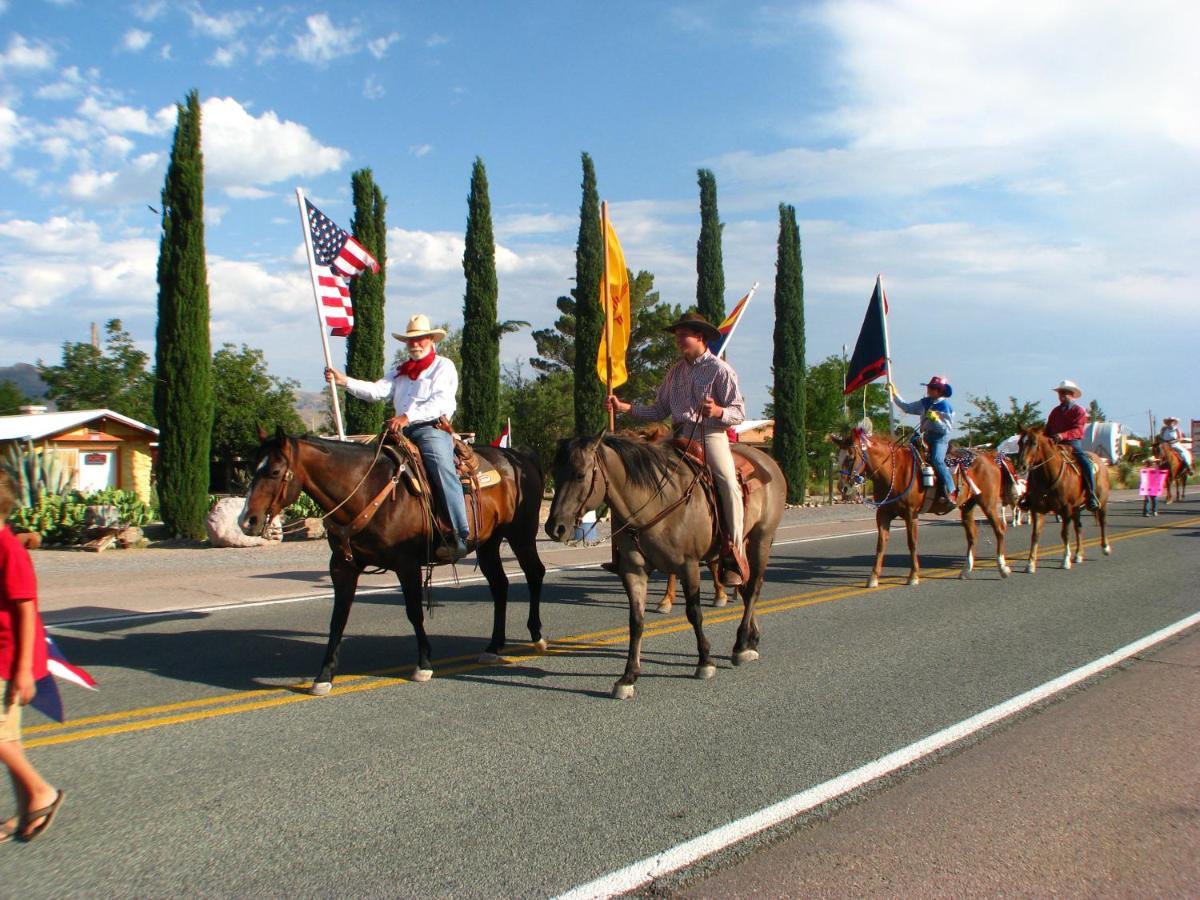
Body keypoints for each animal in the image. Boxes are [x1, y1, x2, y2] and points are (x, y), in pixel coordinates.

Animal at [238, 427, 549, 691]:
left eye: (274, 471)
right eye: (253, 469)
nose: (246, 521)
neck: (366, 492)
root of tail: (518, 456)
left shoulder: (406, 564)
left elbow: (414, 612)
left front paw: (423, 664)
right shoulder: (342, 567)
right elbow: (338, 618)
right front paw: (324, 676)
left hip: (521, 534)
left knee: (535, 573)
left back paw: (537, 636)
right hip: (488, 543)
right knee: (499, 585)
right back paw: (493, 646)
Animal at [544, 436, 787, 705]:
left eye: (579, 475)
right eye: (554, 472)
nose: (554, 528)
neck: (656, 502)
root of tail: (767, 460)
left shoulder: (688, 566)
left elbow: (694, 614)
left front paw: (705, 662)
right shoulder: (634, 572)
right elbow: (636, 621)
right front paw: (628, 677)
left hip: (760, 539)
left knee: (753, 588)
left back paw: (741, 645)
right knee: (744, 588)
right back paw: (751, 641)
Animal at [830, 432, 1008, 592]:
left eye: (850, 457)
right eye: (837, 457)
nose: (843, 488)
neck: (894, 471)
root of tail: (990, 457)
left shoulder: (911, 514)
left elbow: (912, 543)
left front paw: (914, 575)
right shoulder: (883, 514)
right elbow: (880, 544)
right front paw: (873, 577)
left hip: (988, 503)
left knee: (999, 529)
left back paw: (1003, 568)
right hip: (967, 507)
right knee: (972, 535)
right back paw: (965, 570)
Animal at [1017, 427, 1108, 573]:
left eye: (1034, 443)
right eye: (1020, 442)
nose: (1021, 466)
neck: (1047, 476)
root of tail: (1100, 461)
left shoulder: (1066, 509)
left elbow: (1065, 534)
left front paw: (1065, 560)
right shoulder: (1037, 509)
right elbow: (1035, 535)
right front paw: (1030, 563)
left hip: (1102, 501)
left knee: (1103, 521)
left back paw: (1105, 548)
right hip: (1076, 508)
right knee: (1078, 527)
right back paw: (1078, 555)